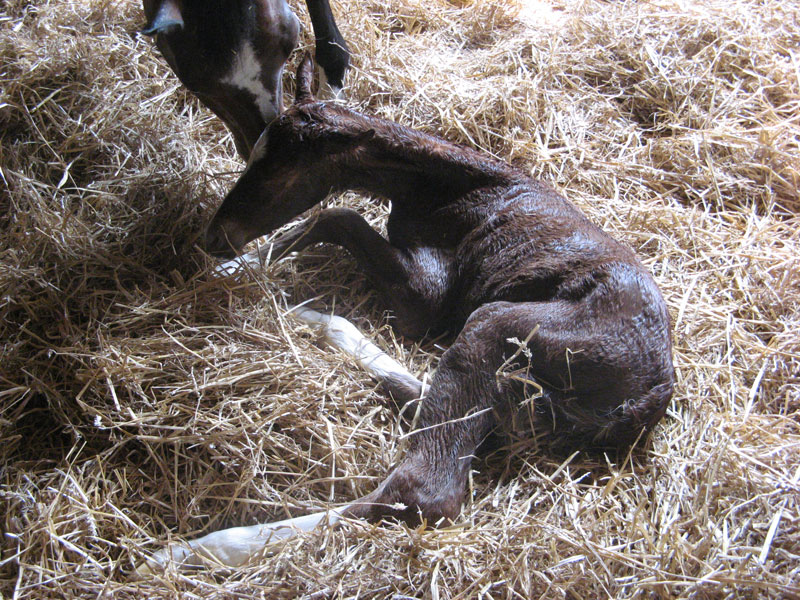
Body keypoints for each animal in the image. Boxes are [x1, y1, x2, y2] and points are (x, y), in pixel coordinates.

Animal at [138, 54, 674, 573]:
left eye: (281, 171)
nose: (214, 237)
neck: (446, 189)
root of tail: (647, 400)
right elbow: (324, 220)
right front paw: (230, 269)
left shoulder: (429, 299)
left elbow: (335, 215)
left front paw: (236, 265)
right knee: (436, 406)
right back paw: (314, 321)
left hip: (498, 324)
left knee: (422, 491)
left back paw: (193, 552)